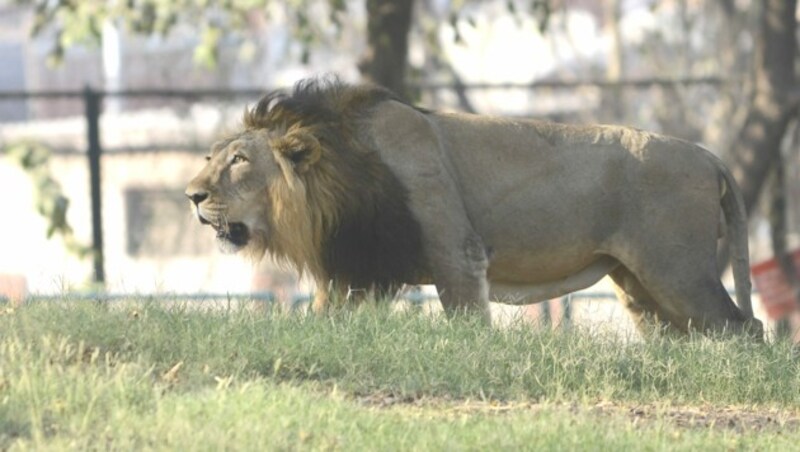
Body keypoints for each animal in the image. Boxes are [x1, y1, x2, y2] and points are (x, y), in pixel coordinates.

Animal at [186, 77, 764, 338]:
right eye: (212, 156)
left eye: (240, 160)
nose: (192, 195)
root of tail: (707, 154)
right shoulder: (355, 269)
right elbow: (325, 318)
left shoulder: (457, 253)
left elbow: (468, 321)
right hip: (639, 286)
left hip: (678, 272)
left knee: (746, 327)